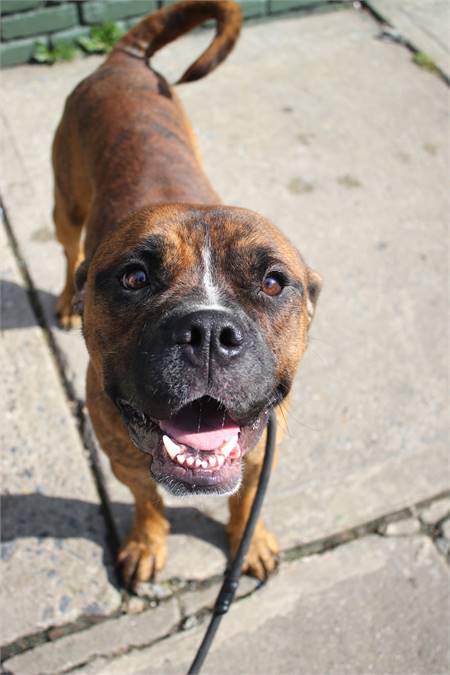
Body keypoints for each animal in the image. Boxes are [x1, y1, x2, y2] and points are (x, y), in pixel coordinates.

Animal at [51, 0, 320, 588]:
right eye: (134, 277)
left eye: (272, 282)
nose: (209, 332)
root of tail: (123, 61)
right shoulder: (123, 460)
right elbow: (149, 502)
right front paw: (147, 543)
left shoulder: (261, 454)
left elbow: (245, 501)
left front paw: (249, 542)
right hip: (66, 205)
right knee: (67, 251)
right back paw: (62, 301)